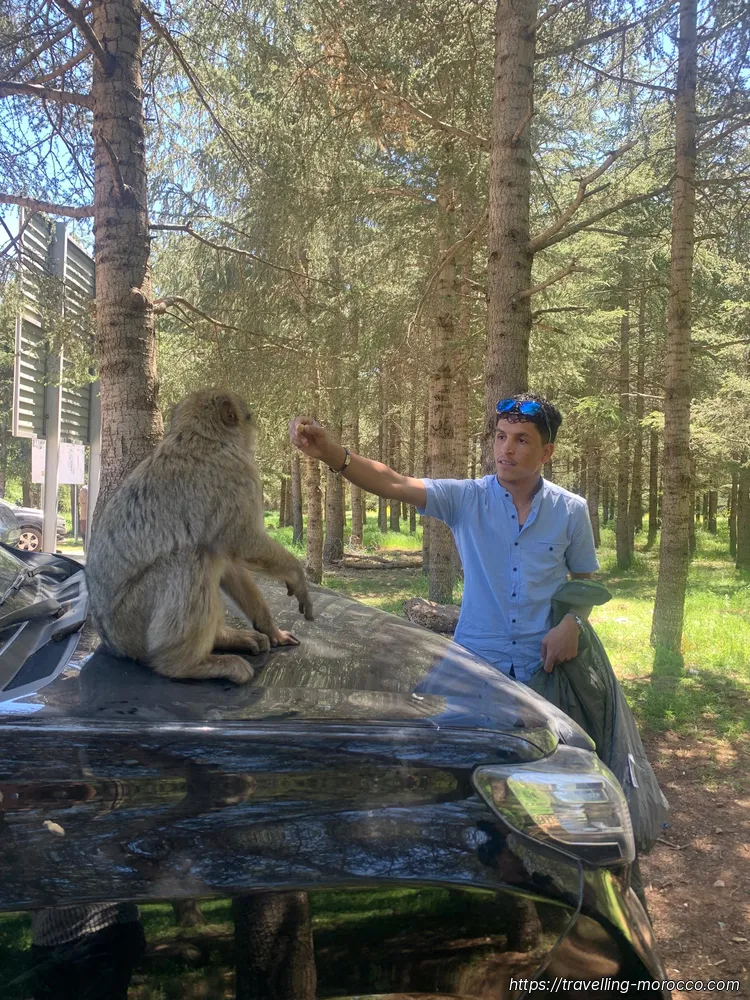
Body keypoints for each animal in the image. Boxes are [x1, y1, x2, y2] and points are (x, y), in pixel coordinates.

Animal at [85, 389, 313, 685]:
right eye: (248, 416)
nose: (255, 428)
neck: (200, 435)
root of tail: (110, 641)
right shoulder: (241, 475)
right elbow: (243, 542)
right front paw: (297, 576)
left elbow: (230, 561)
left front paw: (270, 628)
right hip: (131, 621)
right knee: (193, 558)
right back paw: (187, 664)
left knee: (208, 554)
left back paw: (224, 639)